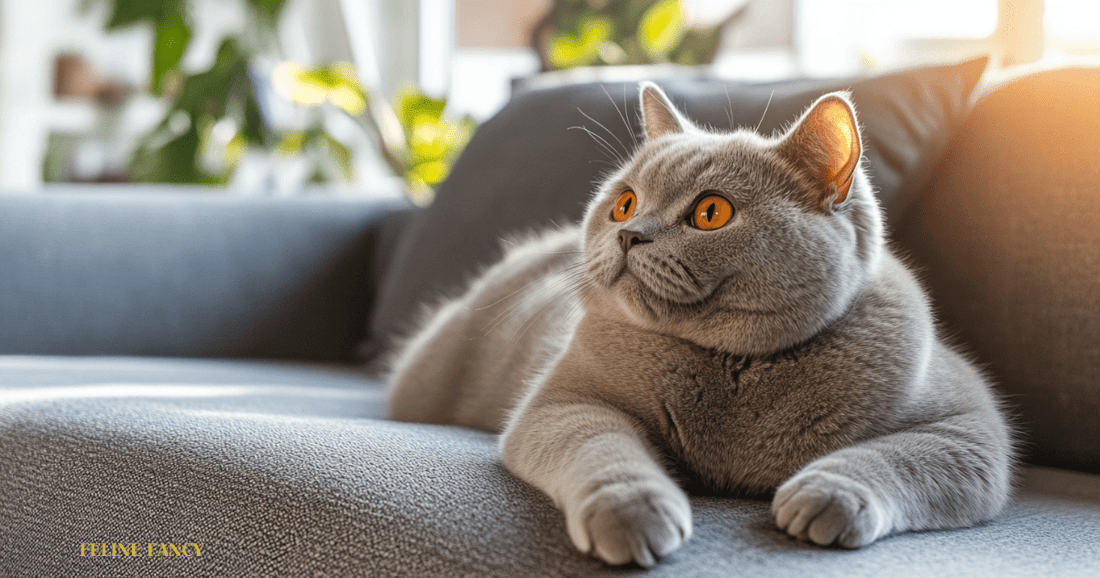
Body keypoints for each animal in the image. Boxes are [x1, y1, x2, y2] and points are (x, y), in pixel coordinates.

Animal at [387, 83, 1012, 563]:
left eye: (711, 213)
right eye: (624, 203)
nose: (629, 233)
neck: (732, 368)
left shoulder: (969, 429)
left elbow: (893, 457)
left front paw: (827, 497)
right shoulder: (565, 401)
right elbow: (602, 447)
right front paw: (634, 513)